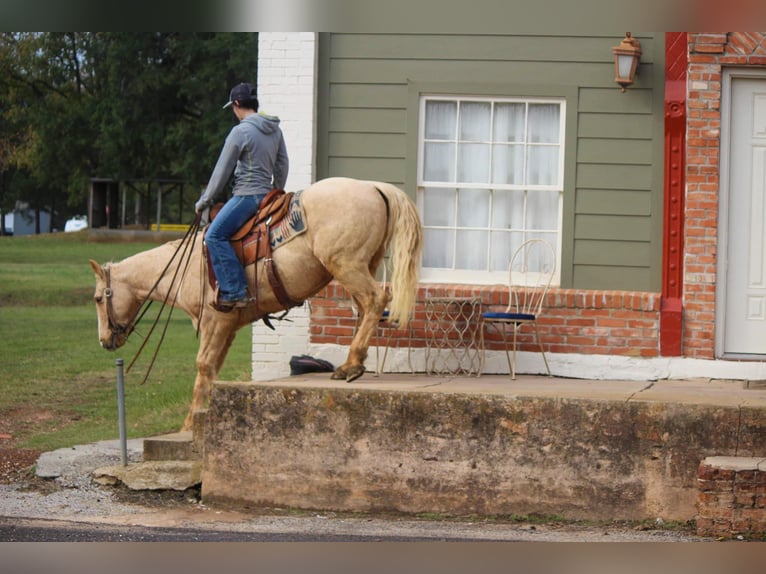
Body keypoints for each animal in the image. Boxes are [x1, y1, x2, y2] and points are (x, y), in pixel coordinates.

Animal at [93, 178, 426, 430]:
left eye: (97, 298)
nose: (104, 340)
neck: (186, 269)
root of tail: (374, 186)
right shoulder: (227, 328)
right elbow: (212, 372)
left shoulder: (214, 322)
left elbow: (203, 369)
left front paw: (190, 424)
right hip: (362, 266)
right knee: (367, 307)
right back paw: (352, 363)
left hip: (346, 265)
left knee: (375, 300)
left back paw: (351, 365)